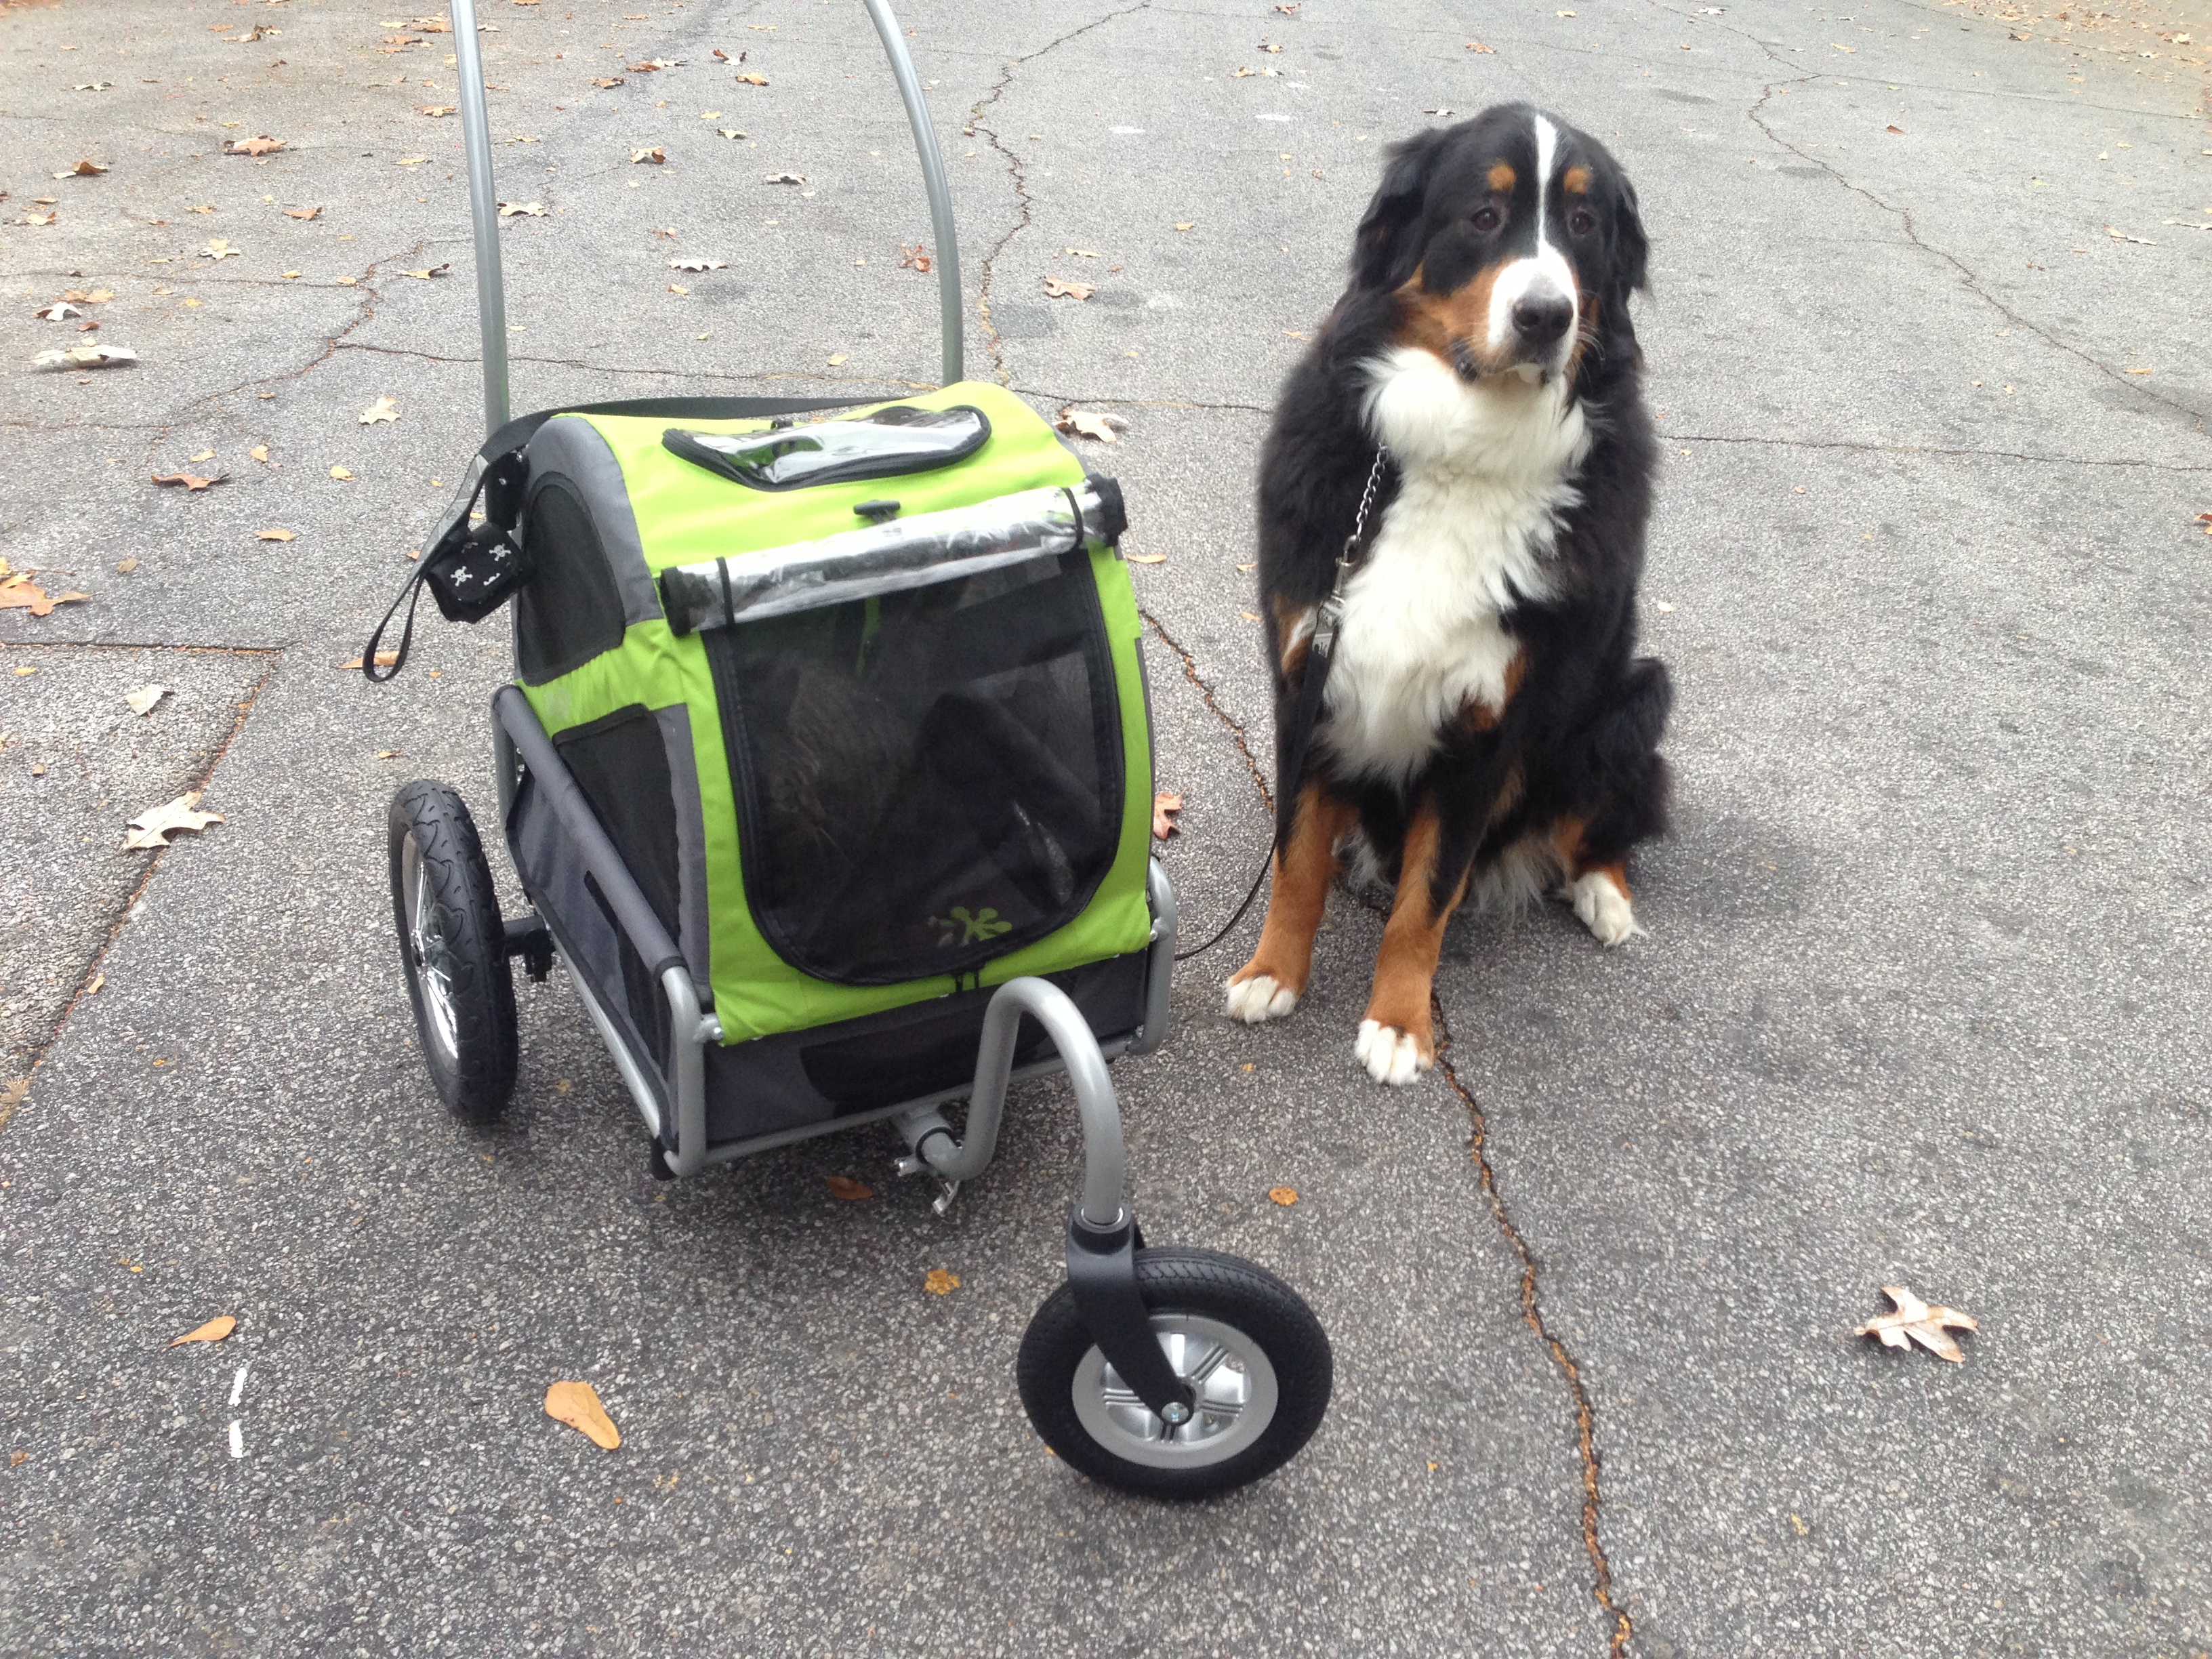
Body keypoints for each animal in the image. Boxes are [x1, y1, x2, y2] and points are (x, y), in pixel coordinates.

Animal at [1221, 104, 1663, 1092]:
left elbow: (1425, 900)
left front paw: (1397, 1024)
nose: (1545, 315)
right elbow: (1295, 857)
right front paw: (1273, 973)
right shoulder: (1306, 674)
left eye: (1584, 225)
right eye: (1485, 217)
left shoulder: (1487, 732)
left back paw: (1604, 896)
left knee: (1609, 820)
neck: (1466, 447)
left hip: (1638, 693)